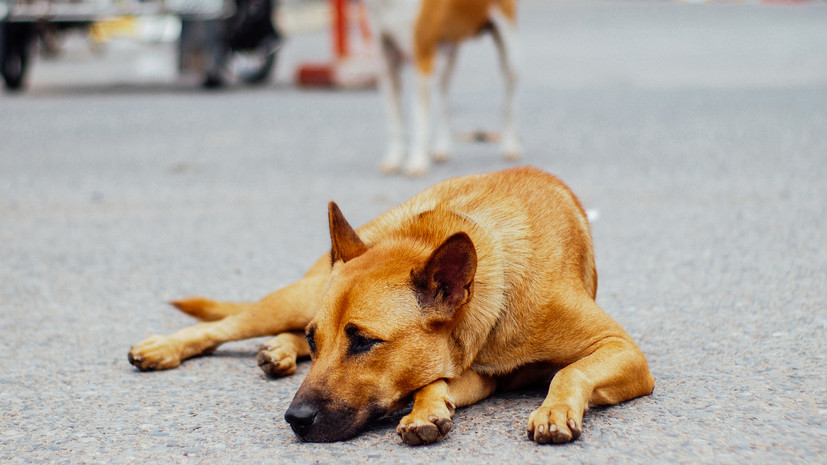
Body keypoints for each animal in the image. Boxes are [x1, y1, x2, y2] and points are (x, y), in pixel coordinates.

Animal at [129, 166, 656, 442]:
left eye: (364, 341)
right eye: (320, 341)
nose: (295, 421)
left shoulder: (622, 350)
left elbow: (569, 371)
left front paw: (551, 409)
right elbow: (435, 379)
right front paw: (427, 408)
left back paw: (277, 351)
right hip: (296, 298)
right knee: (226, 325)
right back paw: (165, 348)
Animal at [370, 0, 520, 176]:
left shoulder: (422, 59)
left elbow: (419, 119)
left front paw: (417, 161)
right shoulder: (386, 66)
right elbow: (394, 120)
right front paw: (394, 159)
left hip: (510, 54)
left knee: (509, 99)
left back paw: (511, 145)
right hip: (448, 50)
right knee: (444, 96)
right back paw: (443, 147)